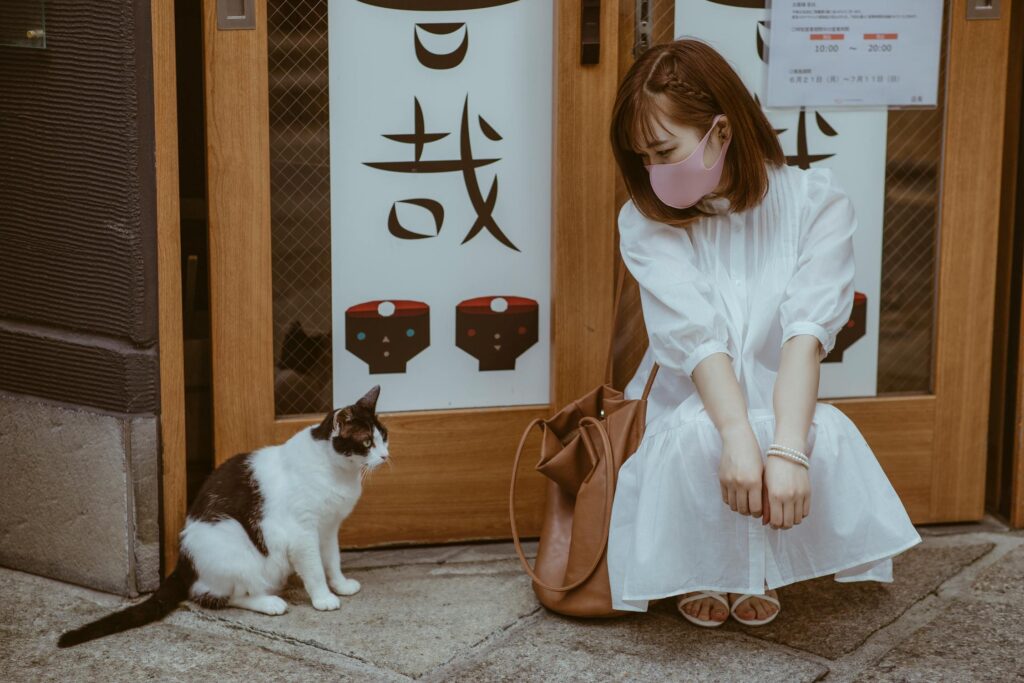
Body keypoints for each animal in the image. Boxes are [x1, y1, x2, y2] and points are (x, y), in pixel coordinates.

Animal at [58, 385, 389, 647]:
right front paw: (323, 598)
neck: (337, 471)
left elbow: (332, 560)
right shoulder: (302, 533)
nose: (386, 455)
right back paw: (270, 603)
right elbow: (315, 569)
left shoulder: (328, 528)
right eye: (366, 443)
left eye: (384, 437)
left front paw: (341, 585)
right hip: (231, 536)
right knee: (225, 594)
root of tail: (183, 562)